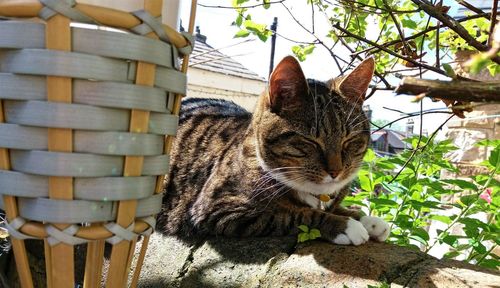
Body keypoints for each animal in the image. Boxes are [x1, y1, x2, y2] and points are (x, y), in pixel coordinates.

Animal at [157, 55, 390, 244]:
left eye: (349, 140)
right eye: (310, 141)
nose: (336, 171)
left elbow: (335, 208)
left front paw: (366, 220)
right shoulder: (219, 208)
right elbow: (291, 214)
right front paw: (343, 225)